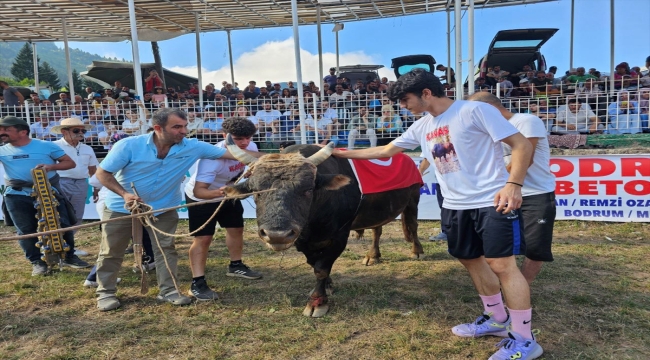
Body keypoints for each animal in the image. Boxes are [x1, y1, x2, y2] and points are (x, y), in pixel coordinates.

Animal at [225, 141, 422, 318]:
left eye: (307, 189)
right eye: (256, 191)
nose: (277, 235)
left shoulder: (339, 237)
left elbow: (321, 268)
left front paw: (317, 302)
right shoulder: (303, 240)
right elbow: (315, 264)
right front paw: (327, 284)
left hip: (413, 198)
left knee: (413, 225)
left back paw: (416, 251)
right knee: (377, 230)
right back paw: (373, 255)